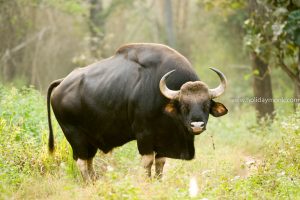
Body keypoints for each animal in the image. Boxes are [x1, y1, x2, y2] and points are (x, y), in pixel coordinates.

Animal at [47, 42, 227, 180]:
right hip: (75, 136)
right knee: (82, 162)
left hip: (89, 140)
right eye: (183, 105)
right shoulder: (144, 135)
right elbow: (147, 162)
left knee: (89, 161)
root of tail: (62, 82)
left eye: (206, 104)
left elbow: (160, 164)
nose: (197, 125)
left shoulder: (163, 141)